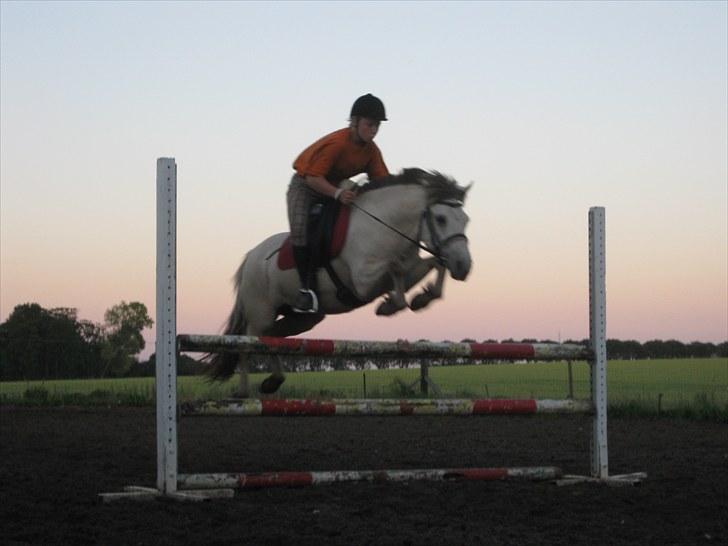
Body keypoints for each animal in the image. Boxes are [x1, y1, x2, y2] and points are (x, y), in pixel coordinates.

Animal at [208, 167, 474, 392]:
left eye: (465, 219)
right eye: (441, 218)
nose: (464, 266)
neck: (386, 225)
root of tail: (250, 257)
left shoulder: (410, 269)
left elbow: (434, 264)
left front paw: (422, 298)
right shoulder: (364, 283)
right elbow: (395, 267)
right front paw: (389, 305)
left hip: (305, 318)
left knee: (272, 337)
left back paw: (273, 381)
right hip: (261, 311)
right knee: (247, 342)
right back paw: (245, 393)